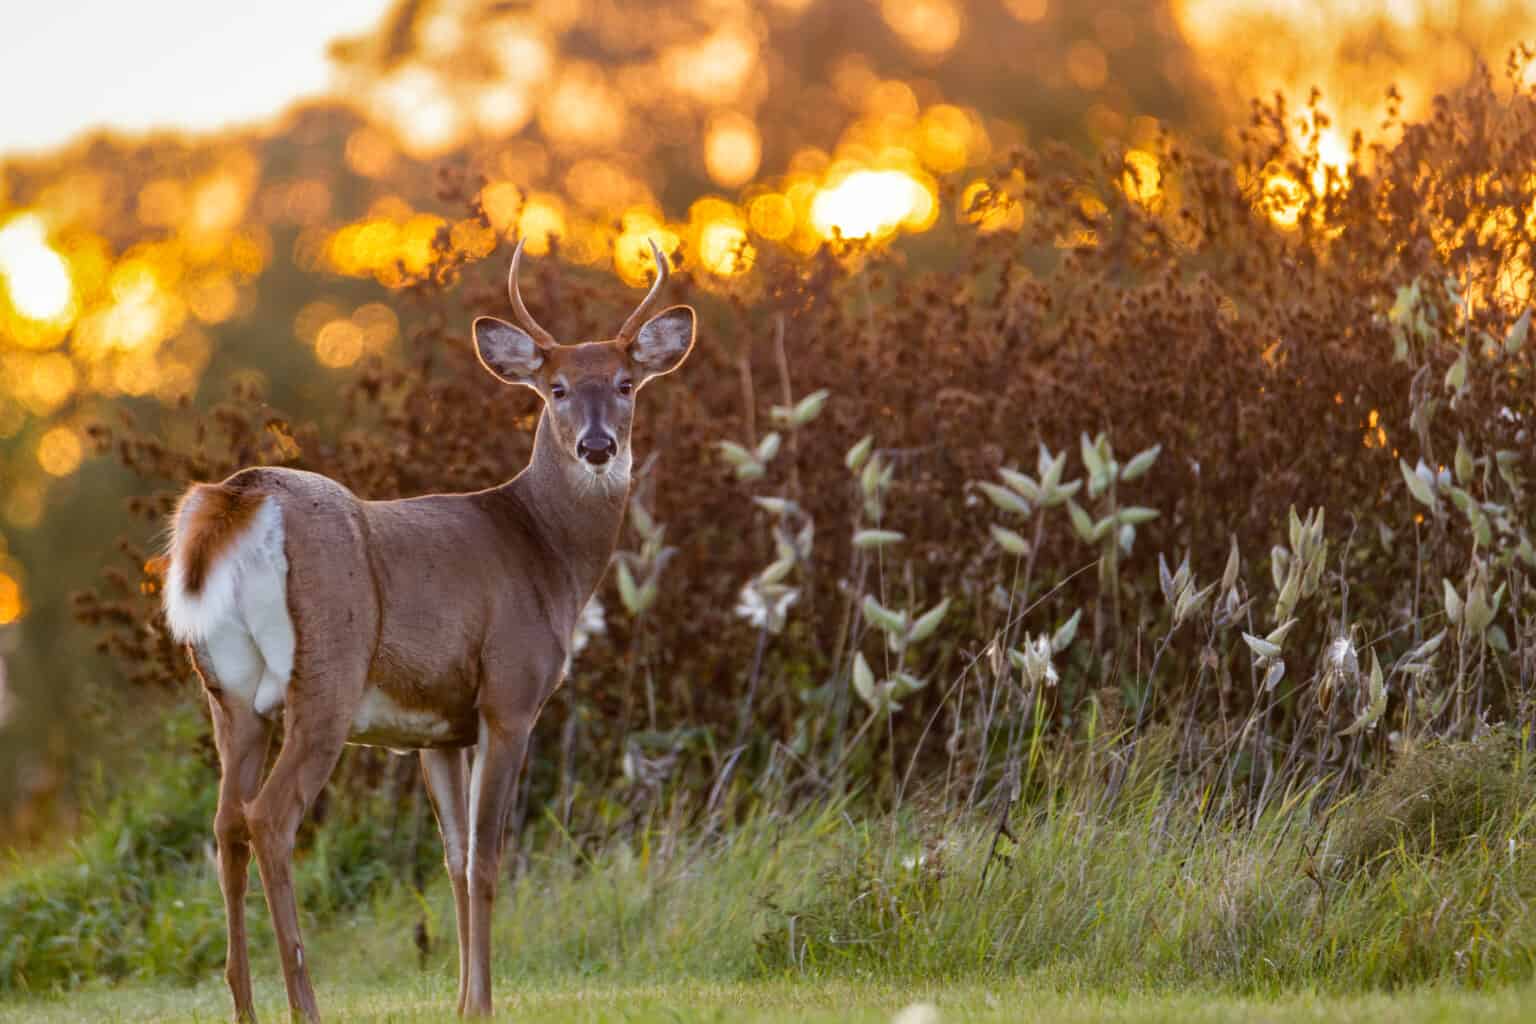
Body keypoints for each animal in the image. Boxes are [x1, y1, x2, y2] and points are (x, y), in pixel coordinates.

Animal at [157, 237, 697, 1019]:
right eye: (557, 388)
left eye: (627, 384)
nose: (597, 447)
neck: (545, 552)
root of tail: (236, 498)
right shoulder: (509, 696)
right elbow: (488, 858)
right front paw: (485, 1005)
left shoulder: (438, 731)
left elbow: (454, 860)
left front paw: (463, 1000)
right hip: (325, 677)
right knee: (271, 819)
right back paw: (305, 1003)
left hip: (228, 694)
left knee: (226, 823)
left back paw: (244, 1005)